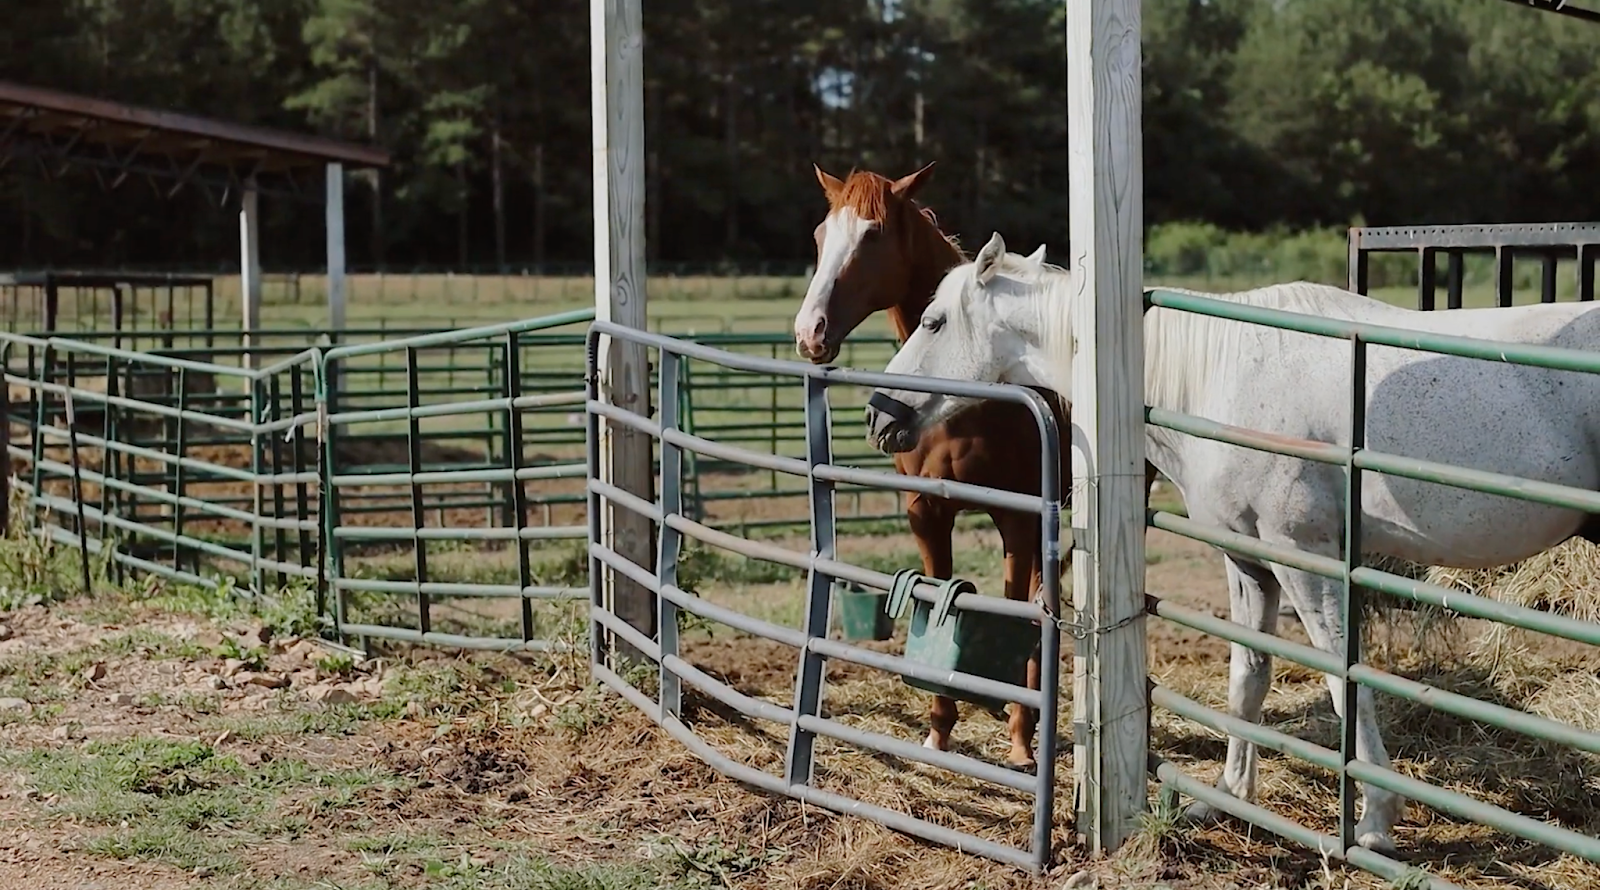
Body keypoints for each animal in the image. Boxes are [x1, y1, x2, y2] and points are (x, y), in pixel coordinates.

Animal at [860, 231, 1600, 854]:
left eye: (934, 321)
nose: (877, 414)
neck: (1217, 377)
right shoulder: (1248, 560)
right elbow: (1249, 678)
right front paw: (1225, 797)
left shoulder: (1306, 559)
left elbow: (1342, 680)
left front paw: (1375, 823)